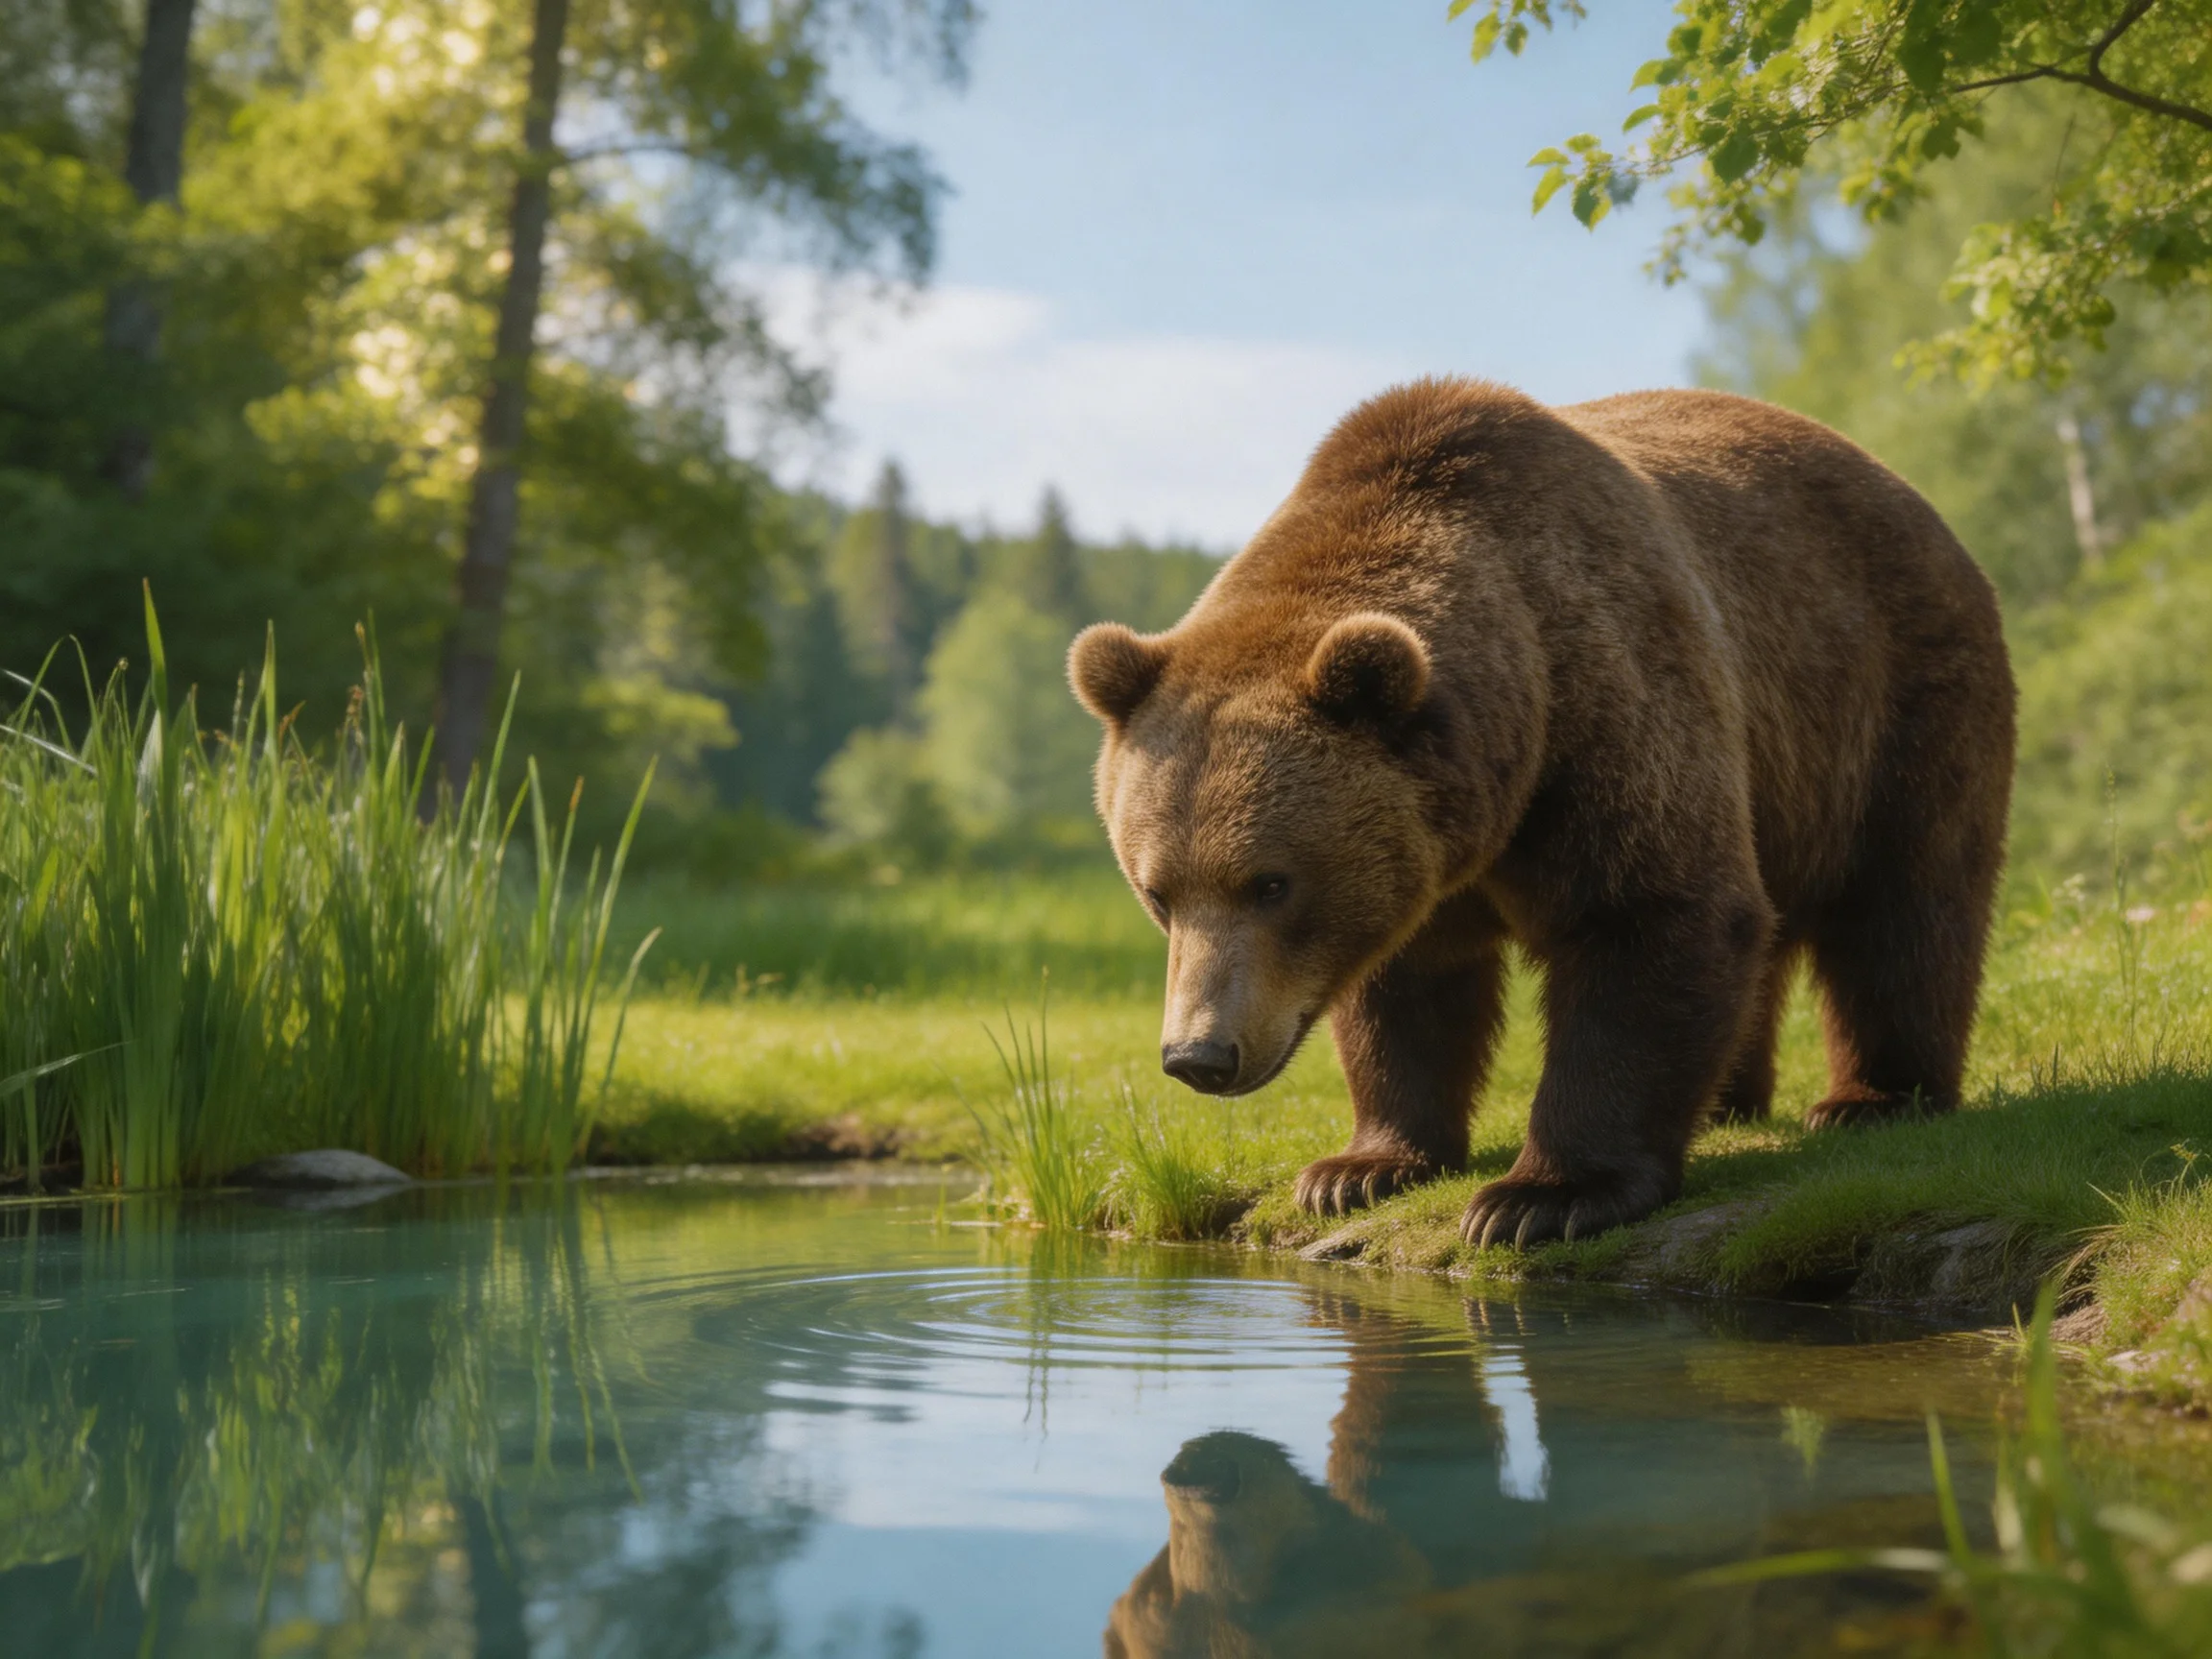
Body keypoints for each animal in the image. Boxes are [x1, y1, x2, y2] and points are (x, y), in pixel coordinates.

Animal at [1067, 378, 2014, 1247]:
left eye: (1270, 883)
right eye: (1158, 893)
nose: (1199, 1054)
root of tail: (1903, 486)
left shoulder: (1610, 707)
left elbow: (1649, 919)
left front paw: (1538, 1198)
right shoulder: (1421, 852)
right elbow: (1407, 990)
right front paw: (1358, 1169)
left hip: (1888, 696)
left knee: (1905, 905)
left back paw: (1875, 1099)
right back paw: (1728, 1101)